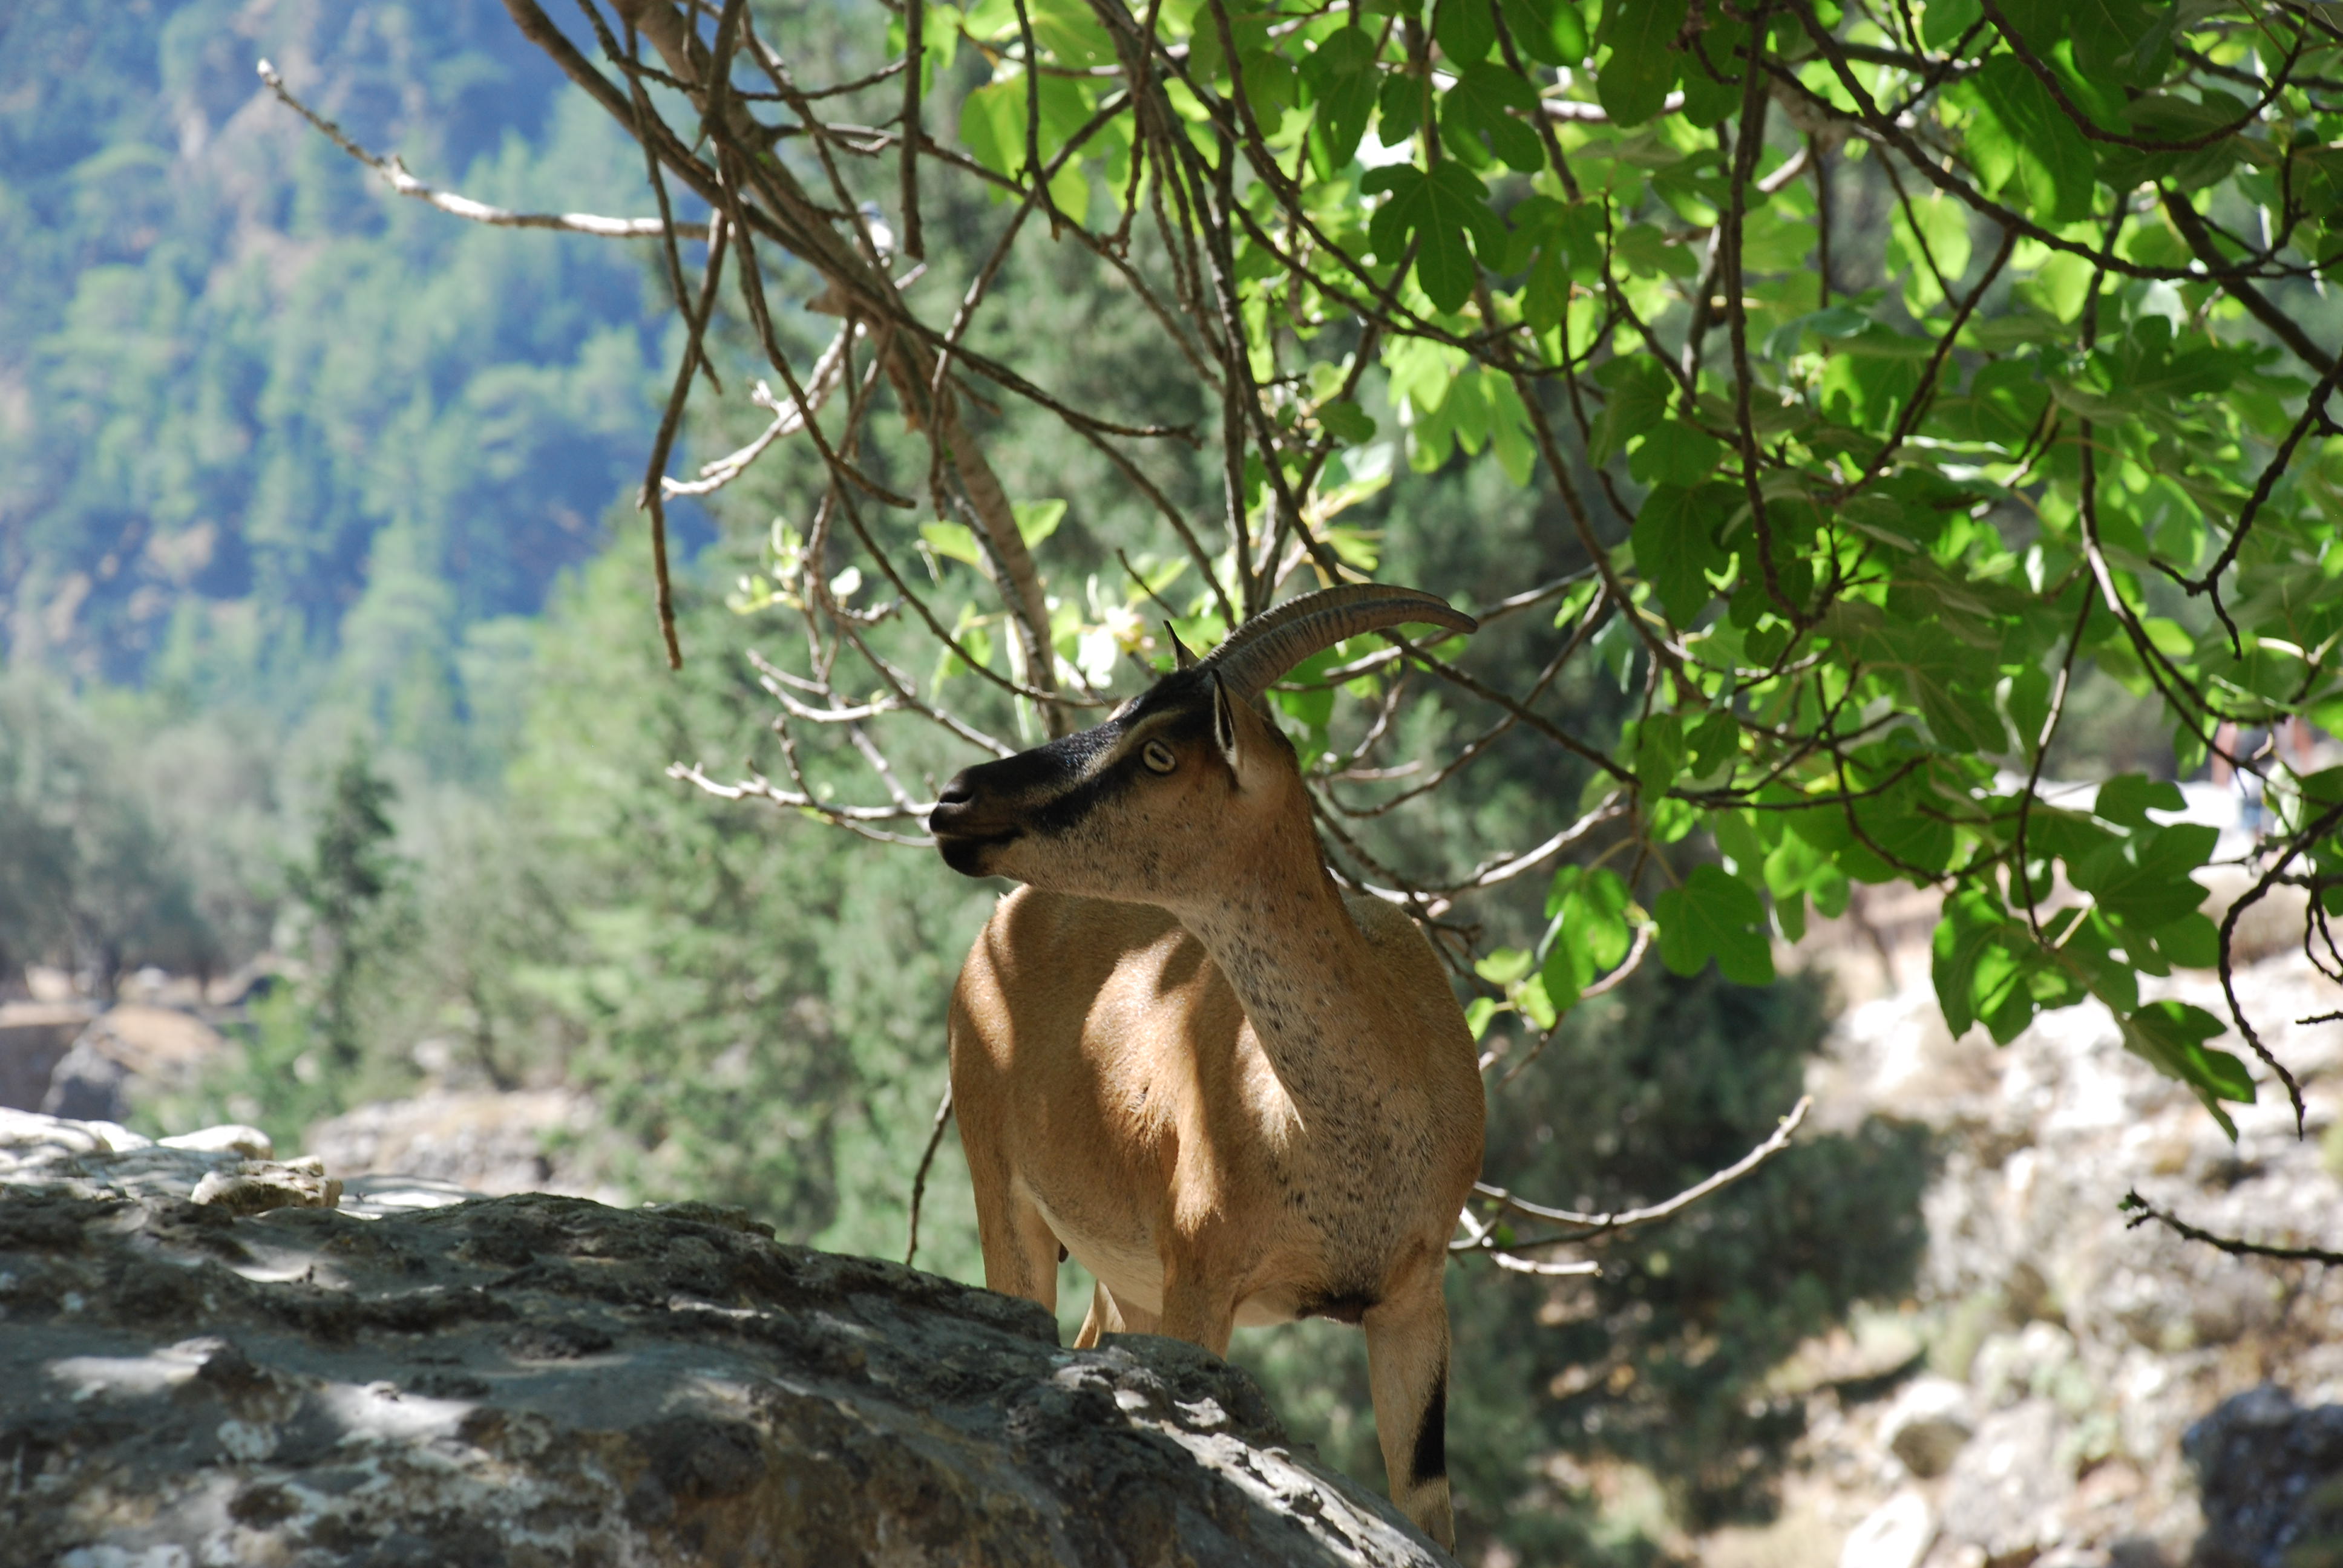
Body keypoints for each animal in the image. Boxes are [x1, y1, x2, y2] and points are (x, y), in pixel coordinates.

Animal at [928, 583, 1481, 1537]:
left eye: (1157, 753)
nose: (956, 799)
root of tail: (998, 931)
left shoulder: (1412, 1298)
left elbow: (1427, 1504)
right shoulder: (1198, 1275)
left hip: (1121, 1274)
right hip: (1003, 1186)